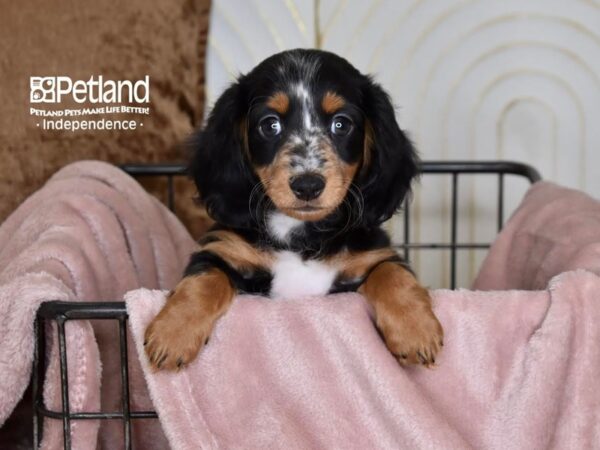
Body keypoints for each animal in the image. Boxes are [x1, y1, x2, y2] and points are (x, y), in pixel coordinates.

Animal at [144, 49, 446, 370]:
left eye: (341, 124)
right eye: (270, 125)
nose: (307, 185)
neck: (302, 236)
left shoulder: (371, 255)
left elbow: (392, 272)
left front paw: (415, 331)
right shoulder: (222, 249)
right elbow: (203, 279)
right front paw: (173, 333)